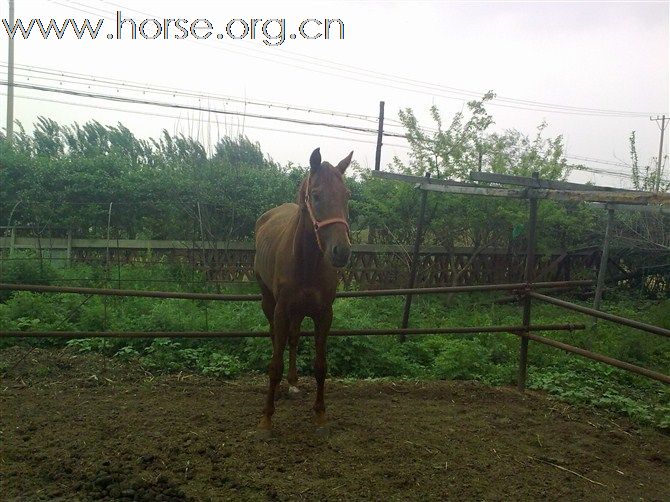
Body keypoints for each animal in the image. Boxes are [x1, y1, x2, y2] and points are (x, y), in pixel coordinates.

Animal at [255, 148, 354, 436]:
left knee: (294, 338)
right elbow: (274, 365)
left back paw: (293, 383)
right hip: (269, 303)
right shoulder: (281, 311)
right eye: (317, 195)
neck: (307, 262)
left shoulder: (324, 314)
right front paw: (266, 419)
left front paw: (320, 416)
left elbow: (321, 366)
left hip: (299, 311)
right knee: (277, 337)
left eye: (347, 195)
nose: (341, 252)